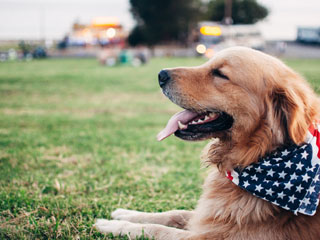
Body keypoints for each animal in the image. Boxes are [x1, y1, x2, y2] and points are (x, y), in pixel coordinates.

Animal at [94, 46, 320, 238]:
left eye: (220, 74)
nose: (161, 74)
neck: (258, 155)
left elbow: (155, 229)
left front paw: (112, 225)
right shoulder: (210, 216)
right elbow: (174, 213)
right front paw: (125, 213)